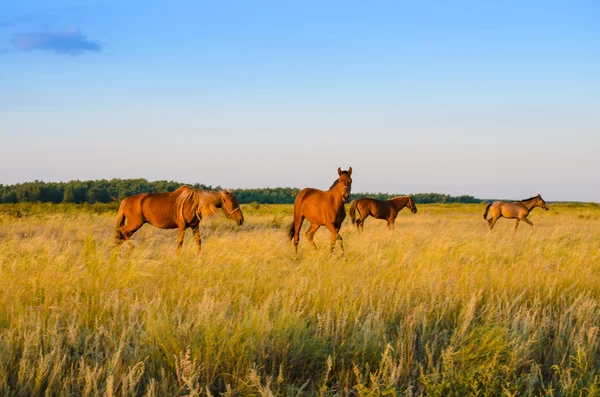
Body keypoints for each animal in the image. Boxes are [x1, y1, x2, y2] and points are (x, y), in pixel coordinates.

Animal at [113, 186, 243, 254]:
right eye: (232, 201)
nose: (241, 219)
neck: (194, 202)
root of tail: (125, 200)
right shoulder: (182, 226)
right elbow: (180, 243)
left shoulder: (194, 226)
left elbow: (198, 242)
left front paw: (199, 258)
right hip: (135, 224)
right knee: (122, 232)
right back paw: (131, 248)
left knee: (120, 235)